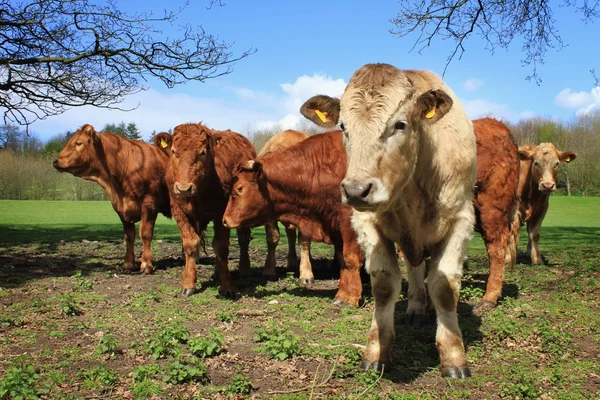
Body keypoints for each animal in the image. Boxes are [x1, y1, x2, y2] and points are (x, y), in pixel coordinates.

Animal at [52, 123, 170, 274]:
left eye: (78, 143)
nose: (56, 161)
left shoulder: (149, 204)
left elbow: (145, 233)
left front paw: (146, 264)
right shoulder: (120, 207)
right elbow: (129, 236)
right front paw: (127, 264)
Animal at [152, 123, 258, 298]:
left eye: (202, 152)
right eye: (173, 151)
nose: (184, 188)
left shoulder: (222, 213)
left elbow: (221, 247)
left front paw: (226, 285)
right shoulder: (179, 211)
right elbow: (190, 244)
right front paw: (189, 284)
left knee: (243, 239)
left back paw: (244, 270)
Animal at [300, 63, 478, 378]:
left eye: (400, 124)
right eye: (344, 127)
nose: (356, 190)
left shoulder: (461, 219)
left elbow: (444, 287)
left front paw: (454, 355)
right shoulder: (367, 222)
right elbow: (384, 286)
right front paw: (376, 351)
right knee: (415, 268)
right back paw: (417, 308)